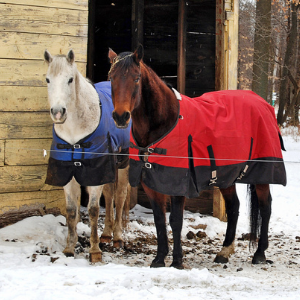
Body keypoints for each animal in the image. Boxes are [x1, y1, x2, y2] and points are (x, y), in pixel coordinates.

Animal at [44, 49, 131, 262]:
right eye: (48, 79)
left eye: (69, 79)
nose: (58, 113)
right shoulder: (68, 173)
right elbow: (71, 210)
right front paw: (69, 248)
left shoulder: (95, 172)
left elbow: (92, 210)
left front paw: (94, 251)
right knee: (109, 195)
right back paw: (106, 234)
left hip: (123, 162)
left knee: (120, 196)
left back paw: (117, 237)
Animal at [108, 45, 286, 270]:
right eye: (111, 77)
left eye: (137, 77)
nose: (120, 117)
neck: (165, 122)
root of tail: (263, 102)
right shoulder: (151, 183)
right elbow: (159, 219)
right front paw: (159, 259)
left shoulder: (179, 183)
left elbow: (175, 220)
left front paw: (177, 261)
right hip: (225, 176)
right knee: (234, 207)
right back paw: (224, 251)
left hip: (261, 174)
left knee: (266, 206)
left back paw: (260, 253)